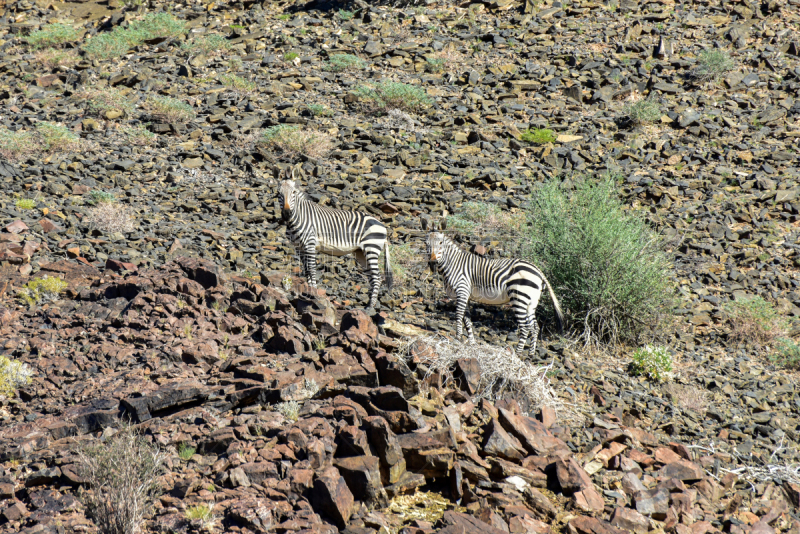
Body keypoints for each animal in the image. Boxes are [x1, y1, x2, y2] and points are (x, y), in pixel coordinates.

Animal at [280, 176, 396, 310]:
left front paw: (313, 292)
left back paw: (370, 306)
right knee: (372, 277)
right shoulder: (299, 248)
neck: (299, 218)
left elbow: (311, 269)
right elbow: (306, 270)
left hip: (371, 248)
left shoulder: (310, 245)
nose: (286, 213)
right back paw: (368, 304)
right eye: (279, 193)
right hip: (361, 253)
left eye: (293, 192)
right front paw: (308, 291)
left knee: (377, 277)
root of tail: (383, 226)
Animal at [428, 232, 564, 358]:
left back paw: (517, 353)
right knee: (534, 327)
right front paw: (471, 342)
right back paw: (531, 354)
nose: (432, 262)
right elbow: (467, 320)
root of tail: (538, 270)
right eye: (427, 244)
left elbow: (459, 315)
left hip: (519, 298)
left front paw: (458, 337)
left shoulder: (462, 290)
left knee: (525, 328)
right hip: (531, 302)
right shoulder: (465, 296)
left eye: (441, 244)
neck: (453, 264)